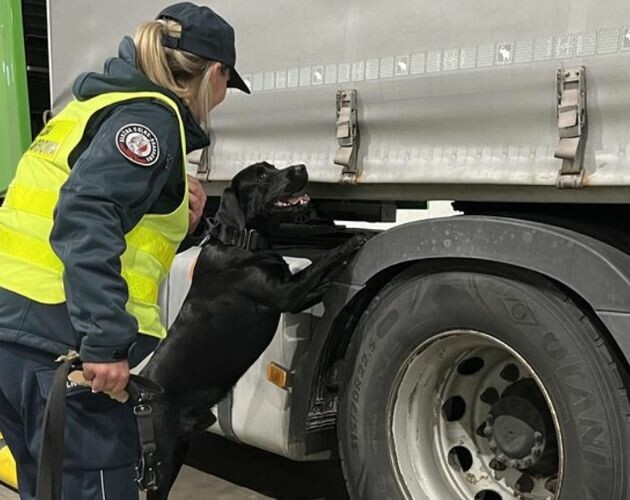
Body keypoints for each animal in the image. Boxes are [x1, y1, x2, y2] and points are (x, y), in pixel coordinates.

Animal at [141, 162, 362, 498]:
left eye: (272, 166)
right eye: (262, 176)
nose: (301, 167)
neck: (242, 241)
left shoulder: (294, 295)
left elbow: (319, 279)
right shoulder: (287, 294)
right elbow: (321, 262)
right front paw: (350, 243)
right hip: (163, 459)